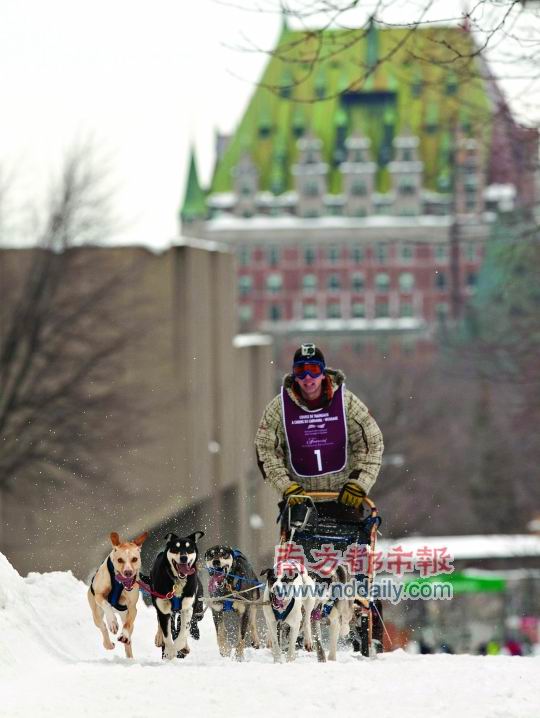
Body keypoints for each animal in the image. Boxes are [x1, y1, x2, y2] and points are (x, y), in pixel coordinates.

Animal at [87, 532, 149, 660]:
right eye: (120, 560)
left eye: (134, 559)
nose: (128, 572)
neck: (119, 583)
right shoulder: (99, 595)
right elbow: (106, 604)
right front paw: (112, 622)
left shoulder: (132, 607)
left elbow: (128, 624)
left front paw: (124, 635)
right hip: (96, 614)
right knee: (102, 626)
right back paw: (108, 644)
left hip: (125, 615)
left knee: (129, 629)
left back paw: (129, 653)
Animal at [150, 532, 205, 660]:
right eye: (176, 547)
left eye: (189, 548)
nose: (184, 558)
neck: (177, 582)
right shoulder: (163, 610)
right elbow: (167, 633)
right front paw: (169, 651)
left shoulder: (188, 608)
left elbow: (183, 632)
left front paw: (180, 647)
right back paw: (159, 638)